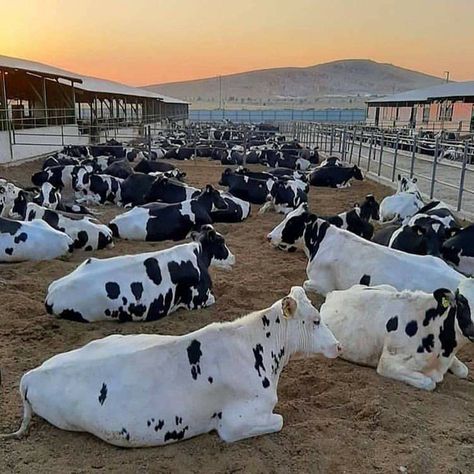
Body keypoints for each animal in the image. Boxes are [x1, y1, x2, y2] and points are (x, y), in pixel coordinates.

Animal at [0, 286, 340, 446]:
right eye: (316, 320)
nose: (338, 346)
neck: (256, 348)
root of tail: (32, 373)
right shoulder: (234, 422)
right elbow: (280, 419)